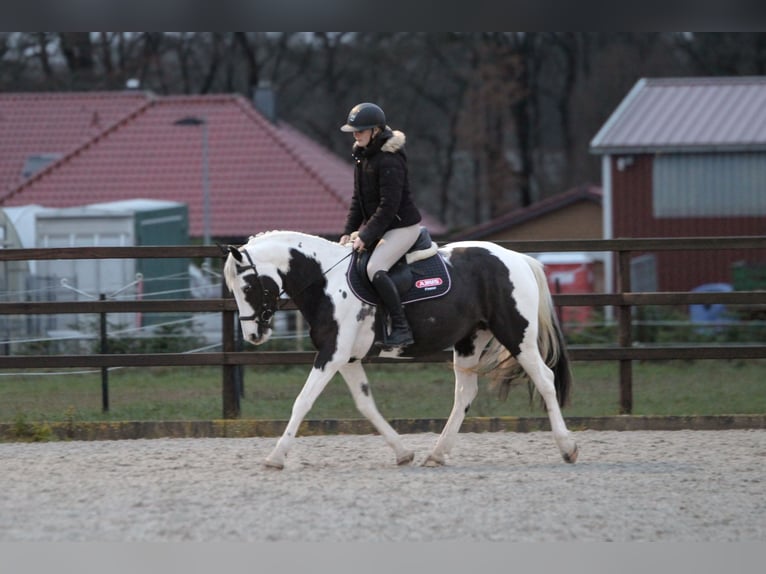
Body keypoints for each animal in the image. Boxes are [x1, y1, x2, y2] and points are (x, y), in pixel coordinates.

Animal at [225, 232, 580, 470]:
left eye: (247, 287)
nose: (254, 334)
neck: (326, 282)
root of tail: (517, 258)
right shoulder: (346, 358)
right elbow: (365, 405)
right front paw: (402, 453)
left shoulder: (331, 354)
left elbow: (302, 401)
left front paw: (275, 457)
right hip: (470, 341)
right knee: (465, 393)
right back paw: (436, 454)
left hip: (517, 335)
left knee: (545, 380)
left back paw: (567, 448)